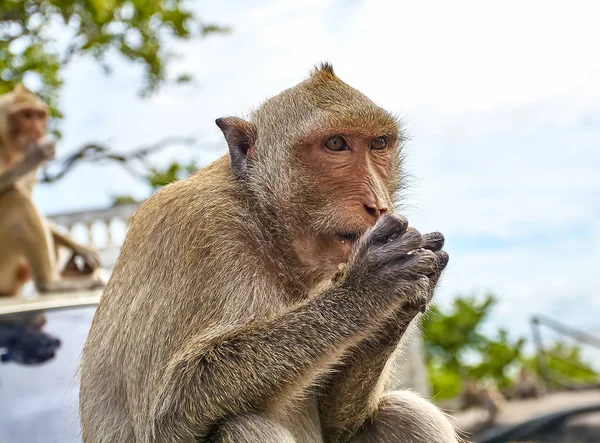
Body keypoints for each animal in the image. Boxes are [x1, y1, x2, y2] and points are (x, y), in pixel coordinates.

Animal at [0, 84, 104, 296]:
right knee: (16, 198)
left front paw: (80, 247)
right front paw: (35, 155)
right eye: (26, 115)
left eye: (39, 115)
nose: (38, 130)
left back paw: (70, 271)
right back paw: (50, 283)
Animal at [79, 64, 462, 443]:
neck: (266, 220)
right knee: (241, 424)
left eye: (379, 144)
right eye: (336, 144)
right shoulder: (192, 227)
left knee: (404, 412)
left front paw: (407, 298)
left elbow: (340, 424)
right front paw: (366, 288)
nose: (378, 206)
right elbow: (164, 418)